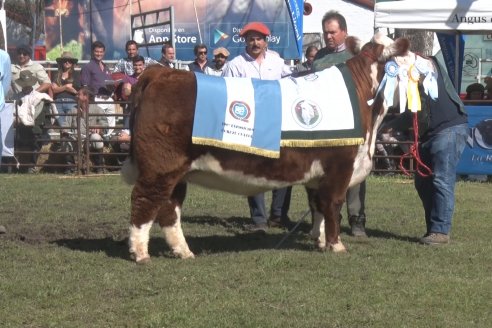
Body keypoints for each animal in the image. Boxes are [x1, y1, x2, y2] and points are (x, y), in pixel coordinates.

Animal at [123, 34, 412, 264]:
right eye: (407, 57)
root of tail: (163, 73)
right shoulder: (340, 166)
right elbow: (333, 204)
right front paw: (336, 244)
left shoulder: (318, 172)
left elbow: (317, 205)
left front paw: (319, 241)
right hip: (160, 166)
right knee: (145, 200)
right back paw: (141, 253)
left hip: (177, 171)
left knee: (170, 208)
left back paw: (183, 251)